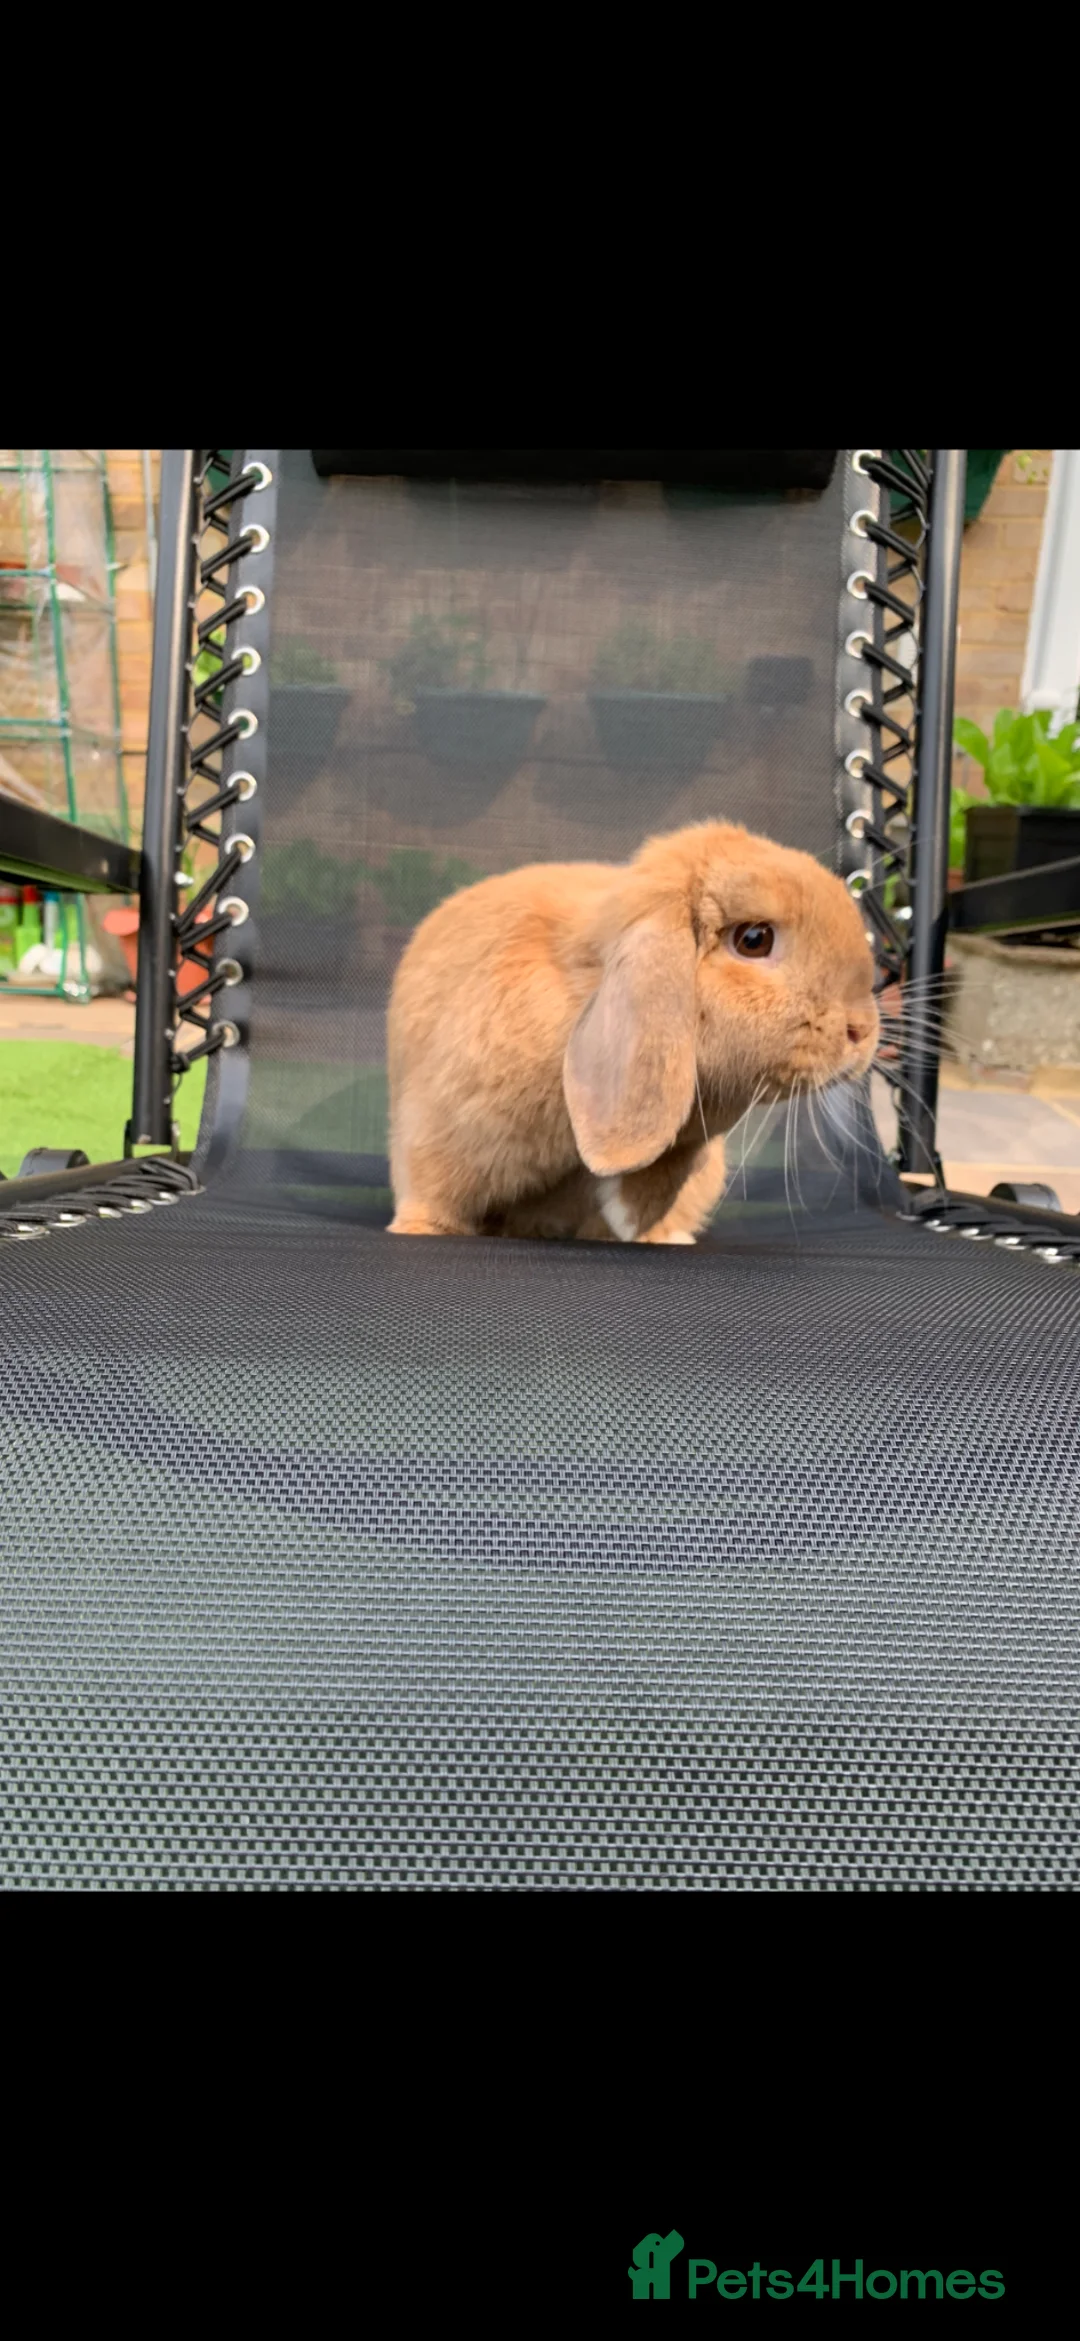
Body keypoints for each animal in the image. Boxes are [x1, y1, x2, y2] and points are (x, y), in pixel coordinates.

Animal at [387, 820, 879, 1242]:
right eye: (754, 939)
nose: (861, 1031)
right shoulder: (441, 1131)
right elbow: (433, 1193)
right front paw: (420, 1231)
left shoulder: (689, 1140)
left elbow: (654, 1180)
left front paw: (638, 1227)